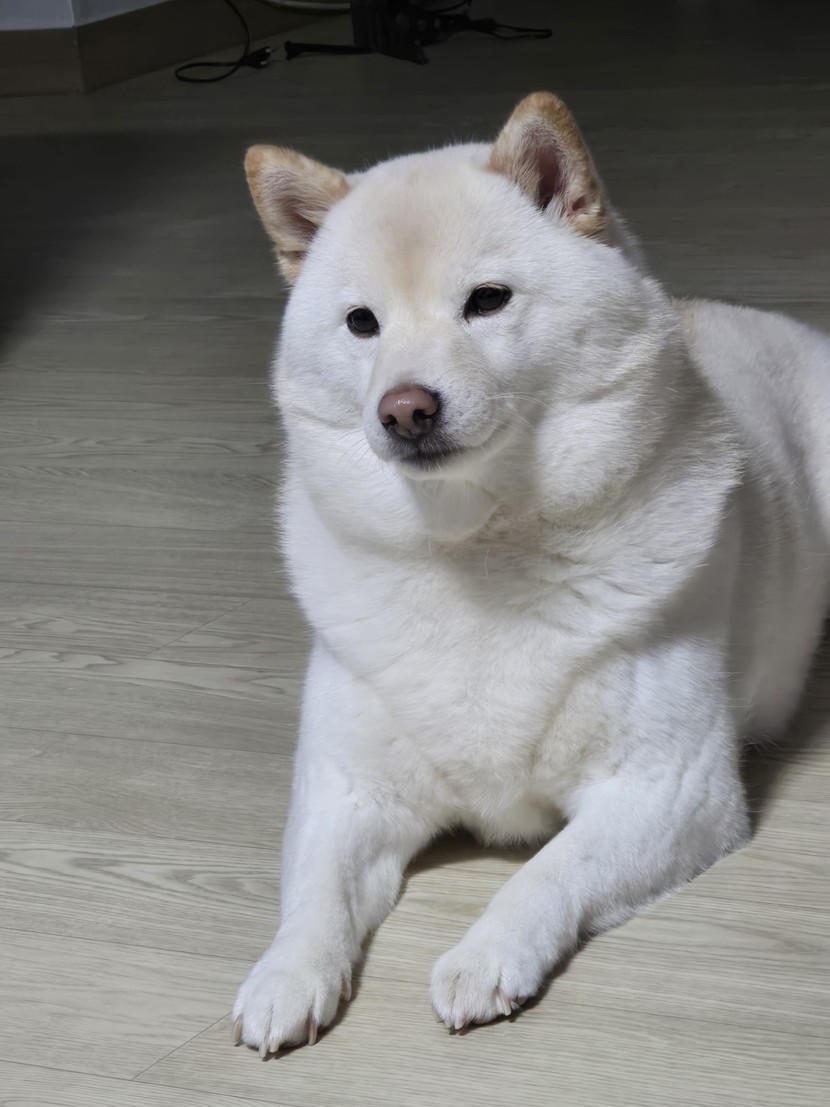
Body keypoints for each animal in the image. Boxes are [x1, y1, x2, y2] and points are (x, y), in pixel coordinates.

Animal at [233, 92, 830, 1054]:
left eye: (487, 302)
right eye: (361, 322)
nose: (405, 409)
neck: (479, 544)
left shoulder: (671, 792)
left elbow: (547, 868)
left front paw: (488, 951)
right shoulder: (345, 791)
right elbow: (316, 895)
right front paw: (288, 972)